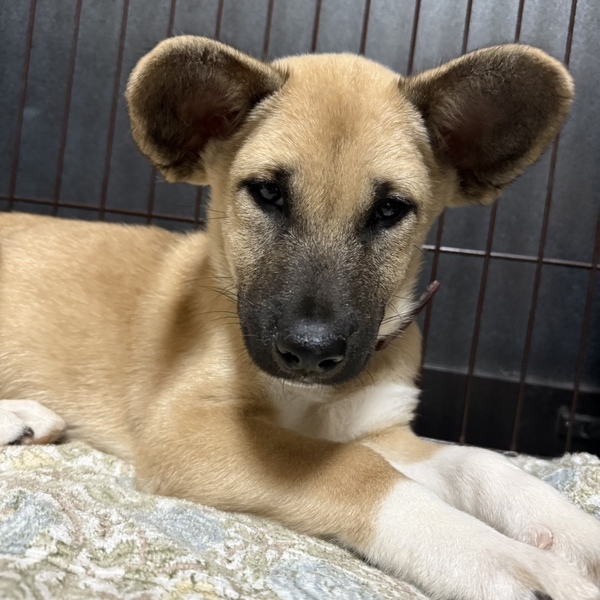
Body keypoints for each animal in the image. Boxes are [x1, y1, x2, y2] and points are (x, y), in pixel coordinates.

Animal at [1, 36, 599, 600]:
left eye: (390, 209)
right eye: (268, 193)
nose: (311, 351)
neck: (312, 399)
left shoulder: (379, 429)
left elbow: (479, 463)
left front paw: (577, 535)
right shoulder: (185, 426)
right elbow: (355, 470)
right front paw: (497, 557)